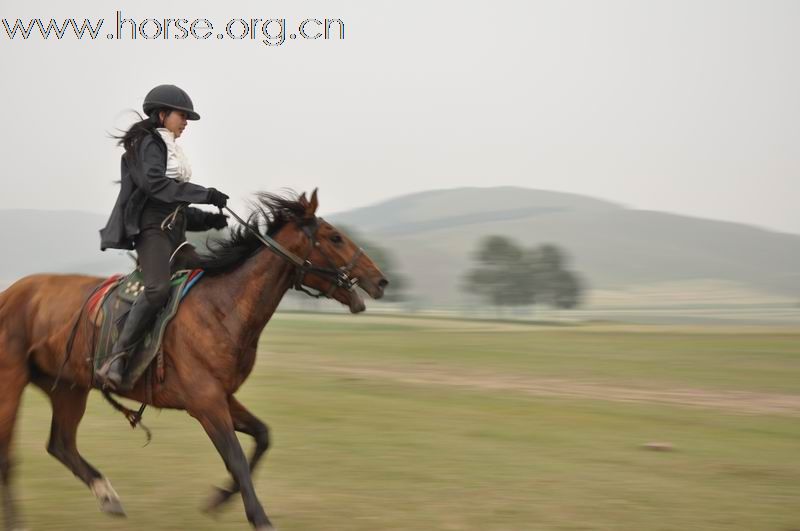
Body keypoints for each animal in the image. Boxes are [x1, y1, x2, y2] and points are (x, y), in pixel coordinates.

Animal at [0, 191, 390, 531]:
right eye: (335, 237)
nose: (381, 280)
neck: (223, 308)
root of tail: (10, 294)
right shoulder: (205, 403)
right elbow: (236, 458)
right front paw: (259, 518)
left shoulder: (223, 397)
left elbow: (262, 437)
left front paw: (219, 499)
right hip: (13, 383)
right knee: (11, 453)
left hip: (68, 387)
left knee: (61, 444)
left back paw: (107, 496)